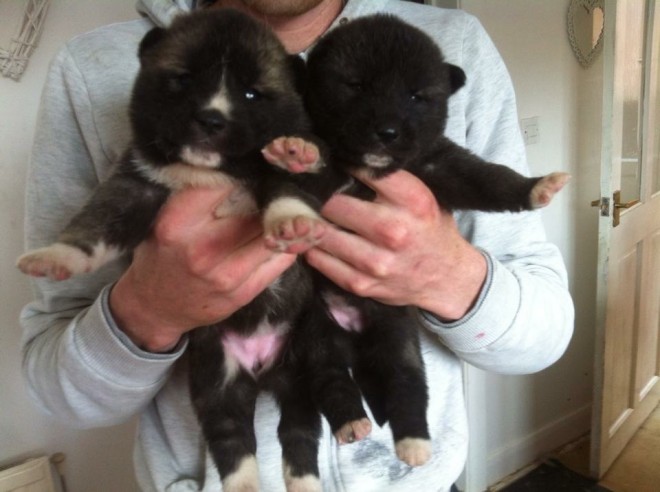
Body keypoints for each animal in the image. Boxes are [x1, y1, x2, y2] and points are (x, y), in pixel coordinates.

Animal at [15, 8, 356, 492]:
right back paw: (244, 483)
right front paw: (59, 255)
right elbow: (97, 220)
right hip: (217, 380)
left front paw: (293, 195)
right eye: (183, 79)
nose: (211, 119)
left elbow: (289, 187)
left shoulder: (286, 174)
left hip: (303, 371)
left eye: (252, 93)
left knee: (299, 433)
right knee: (231, 437)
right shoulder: (135, 184)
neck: (211, 171)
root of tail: (263, 368)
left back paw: (304, 481)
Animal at [268, 13, 568, 468]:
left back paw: (413, 440)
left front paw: (534, 188)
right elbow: (309, 166)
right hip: (315, 333)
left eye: (416, 95)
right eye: (355, 85)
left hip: (396, 332)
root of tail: (352, 331)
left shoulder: (440, 165)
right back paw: (351, 421)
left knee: (407, 380)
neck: (369, 172)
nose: (387, 131)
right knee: (330, 377)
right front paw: (296, 154)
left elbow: (489, 178)